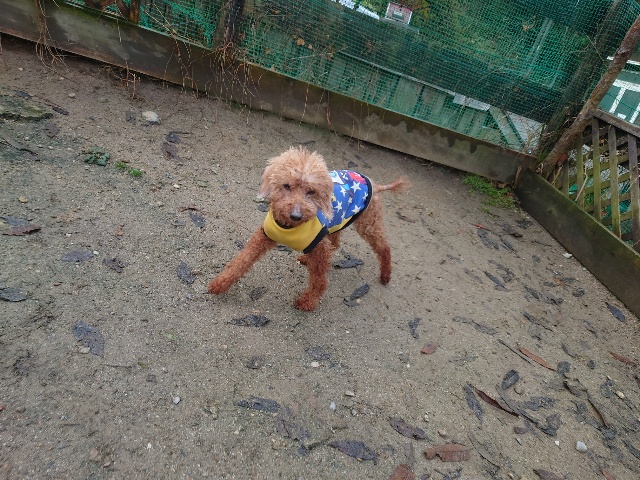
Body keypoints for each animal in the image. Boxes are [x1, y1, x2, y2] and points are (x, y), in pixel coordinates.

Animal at [207, 146, 406, 311]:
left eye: (311, 191)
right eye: (286, 186)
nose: (296, 215)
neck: (290, 227)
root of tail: (374, 183)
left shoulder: (319, 246)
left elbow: (319, 281)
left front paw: (308, 302)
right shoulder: (264, 236)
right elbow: (242, 260)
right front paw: (220, 283)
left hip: (368, 223)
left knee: (383, 247)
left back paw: (385, 276)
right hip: (337, 221)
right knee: (336, 242)